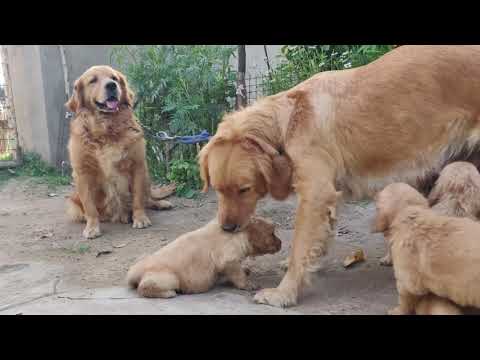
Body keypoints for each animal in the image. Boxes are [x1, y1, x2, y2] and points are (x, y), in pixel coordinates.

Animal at [65, 64, 172, 239]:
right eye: (93, 80)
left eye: (114, 78)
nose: (111, 86)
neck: (106, 130)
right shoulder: (82, 172)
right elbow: (89, 206)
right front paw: (92, 227)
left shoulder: (137, 165)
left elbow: (138, 198)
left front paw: (140, 218)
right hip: (74, 201)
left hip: (146, 175)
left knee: (147, 198)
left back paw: (159, 204)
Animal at [126, 217, 282, 298]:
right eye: (272, 233)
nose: (281, 243)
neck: (239, 235)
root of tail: (133, 274)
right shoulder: (227, 258)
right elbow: (236, 272)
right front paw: (249, 284)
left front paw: (246, 270)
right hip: (165, 274)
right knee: (148, 285)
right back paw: (168, 293)